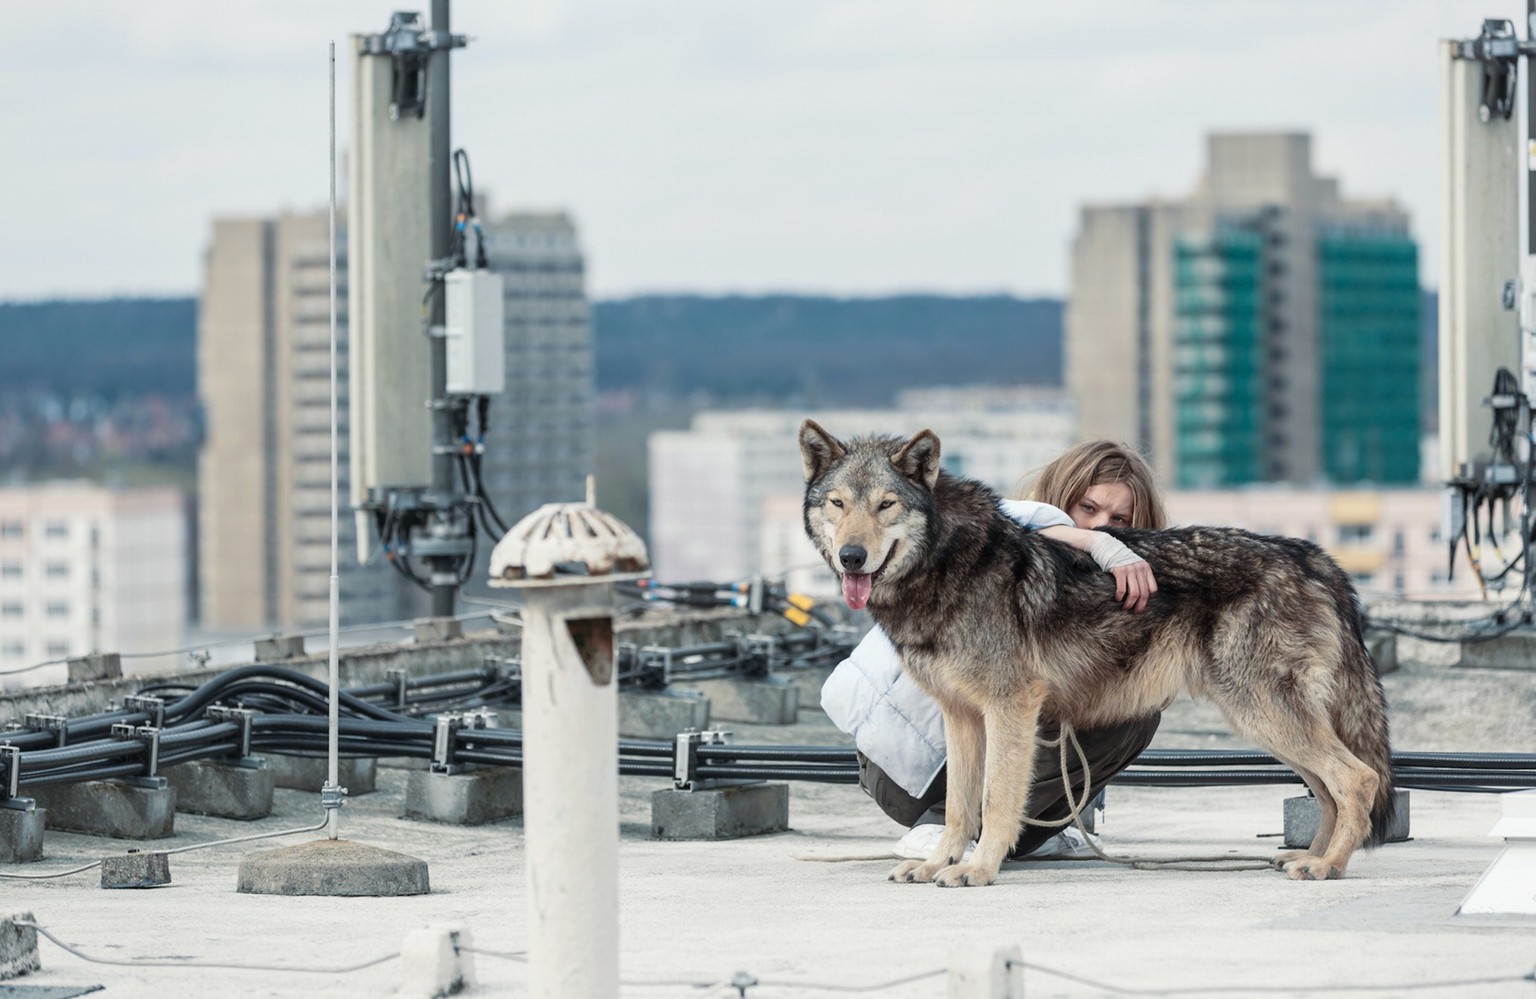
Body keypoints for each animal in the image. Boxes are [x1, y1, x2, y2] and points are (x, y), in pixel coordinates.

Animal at [798, 414, 1400, 885]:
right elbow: (958, 809)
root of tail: (1309, 554)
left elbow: (995, 800)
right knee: (1329, 789)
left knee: (1358, 779)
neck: (945, 563)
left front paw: (979, 869)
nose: (852, 557)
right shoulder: (961, 715)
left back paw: (1327, 866)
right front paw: (938, 864)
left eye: (886, 504)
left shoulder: (1009, 707)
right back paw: (1310, 858)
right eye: (838, 503)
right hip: (1266, 723)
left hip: (1262, 715)